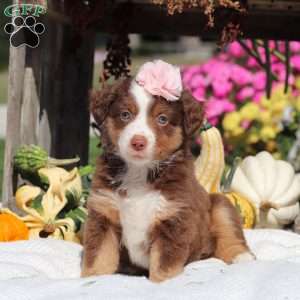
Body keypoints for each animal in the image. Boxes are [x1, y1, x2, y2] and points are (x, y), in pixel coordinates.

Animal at [81, 59, 254, 282]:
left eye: (162, 119)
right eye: (125, 115)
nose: (138, 142)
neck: (139, 172)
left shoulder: (173, 217)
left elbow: (164, 264)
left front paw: (162, 282)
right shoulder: (103, 213)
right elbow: (99, 255)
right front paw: (92, 279)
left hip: (220, 204)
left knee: (229, 233)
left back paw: (242, 257)